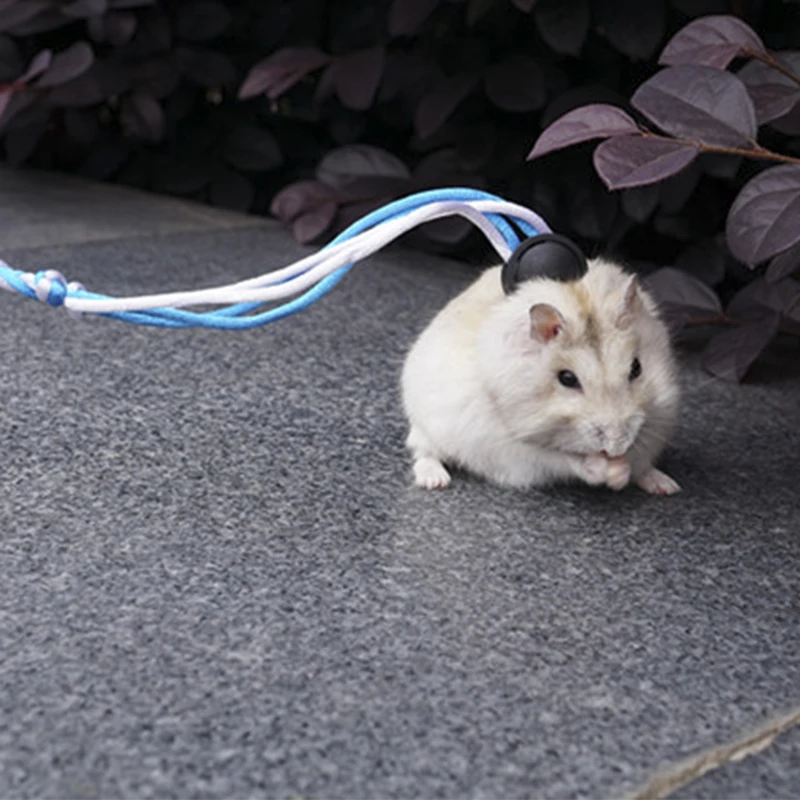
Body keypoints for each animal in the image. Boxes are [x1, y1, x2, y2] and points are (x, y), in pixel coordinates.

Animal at [404, 256, 680, 494]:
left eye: (636, 368)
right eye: (567, 379)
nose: (616, 446)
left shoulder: (657, 421)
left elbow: (635, 459)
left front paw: (620, 470)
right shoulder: (516, 444)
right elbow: (563, 459)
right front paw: (604, 469)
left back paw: (667, 487)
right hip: (426, 425)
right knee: (423, 450)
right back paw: (435, 481)